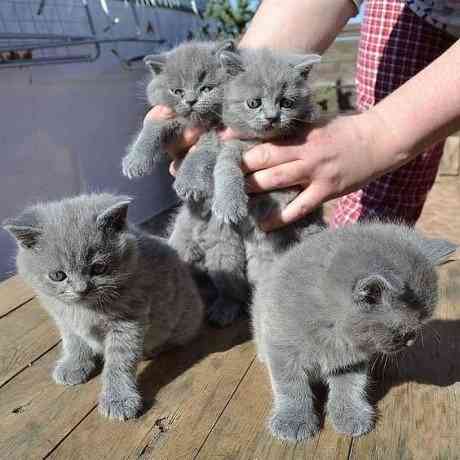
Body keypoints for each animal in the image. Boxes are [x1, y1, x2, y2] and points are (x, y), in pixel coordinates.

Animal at [1, 194, 203, 420]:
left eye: (99, 268)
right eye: (58, 275)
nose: (81, 289)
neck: (83, 310)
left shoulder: (128, 320)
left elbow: (119, 361)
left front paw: (118, 399)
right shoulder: (64, 318)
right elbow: (73, 342)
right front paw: (73, 365)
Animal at [255, 223, 456, 442]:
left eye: (414, 330)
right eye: (402, 331)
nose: (410, 341)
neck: (334, 336)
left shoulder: (350, 362)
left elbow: (350, 386)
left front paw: (350, 414)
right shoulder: (281, 347)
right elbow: (290, 385)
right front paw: (293, 419)